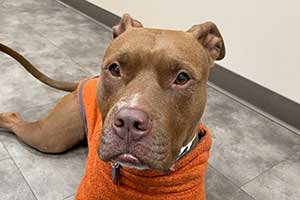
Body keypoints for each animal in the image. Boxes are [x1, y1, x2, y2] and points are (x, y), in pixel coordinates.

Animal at [0, 14, 225, 200]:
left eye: (182, 78)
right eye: (115, 69)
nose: (129, 121)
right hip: (50, 137)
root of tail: (85, 80)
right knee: (14, 118)